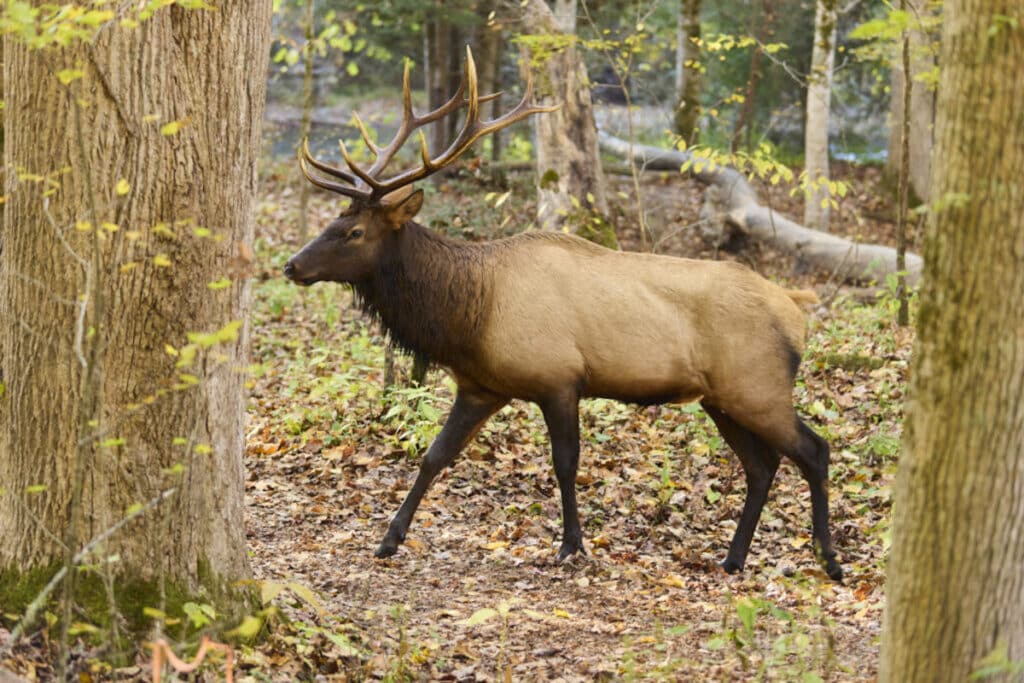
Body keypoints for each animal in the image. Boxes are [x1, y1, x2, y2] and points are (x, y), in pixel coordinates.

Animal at [284, 48, 843, 581]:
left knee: (814, 450)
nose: (292, 265)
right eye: (334, 221)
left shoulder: (558, 379)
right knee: (763, 465)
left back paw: (828, 560)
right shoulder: (481, 386)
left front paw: (572, 545)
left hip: (757, 386)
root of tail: (798, 314)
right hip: (722, 398)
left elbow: (565, 465)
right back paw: (733, 558)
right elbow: (434, 455)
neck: (469, 315)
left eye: (354, 232)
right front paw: (388, 540)